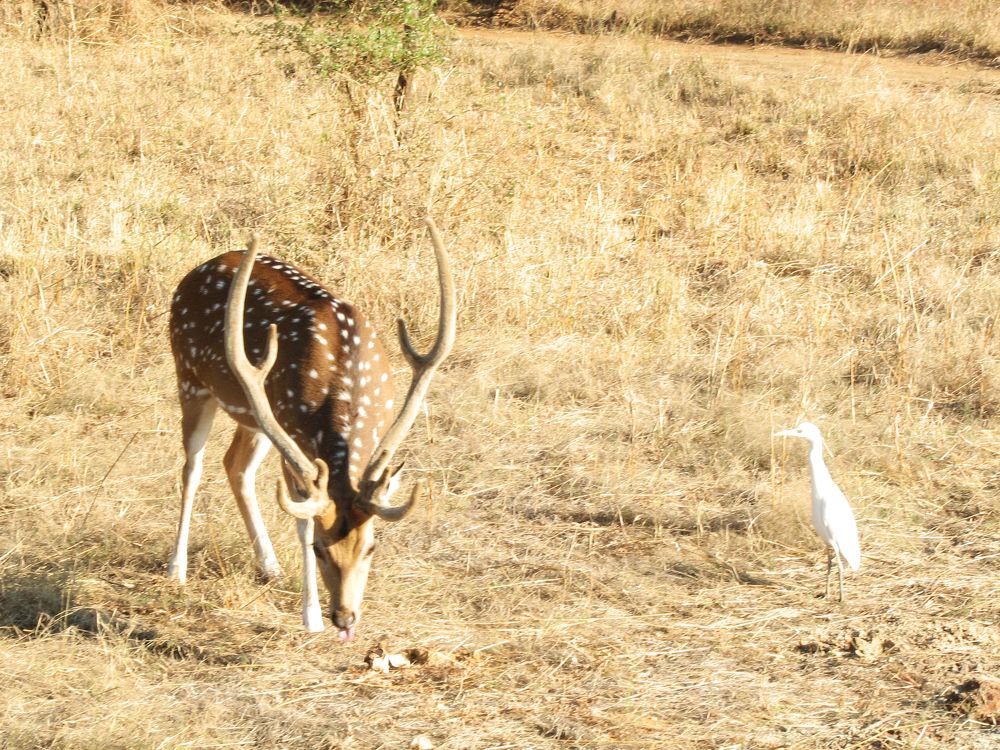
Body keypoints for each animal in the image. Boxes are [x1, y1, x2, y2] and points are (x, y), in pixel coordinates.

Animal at [166, 218, 456, 638]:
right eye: (320, 549)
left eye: (371, 548)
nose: (345, 617)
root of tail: (197, 269)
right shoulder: (295, 436)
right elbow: (302, 521)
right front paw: (311, 616)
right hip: (190, 377)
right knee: (192, 468)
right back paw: (177, 568)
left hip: (255, 416)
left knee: (236, 465)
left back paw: (269, 566)